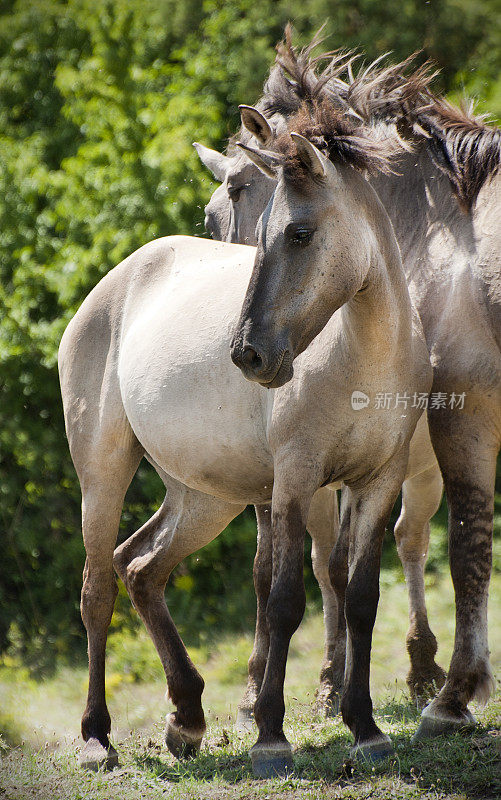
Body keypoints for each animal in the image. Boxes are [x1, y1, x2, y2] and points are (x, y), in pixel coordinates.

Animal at [57, 103, 426, 772]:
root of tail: (110, 285)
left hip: (205, 496)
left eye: (299, 234)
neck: (366, 355)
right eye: (264, 233)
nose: (248, 355)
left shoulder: (379, 481)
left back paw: (186, 718)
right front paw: (271, 736)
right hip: (103, 474)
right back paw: (98, 738)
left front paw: (366, 728)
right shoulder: (295, 483)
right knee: (98, 590)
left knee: (140, 566)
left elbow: (360, 599)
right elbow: (282, 601)